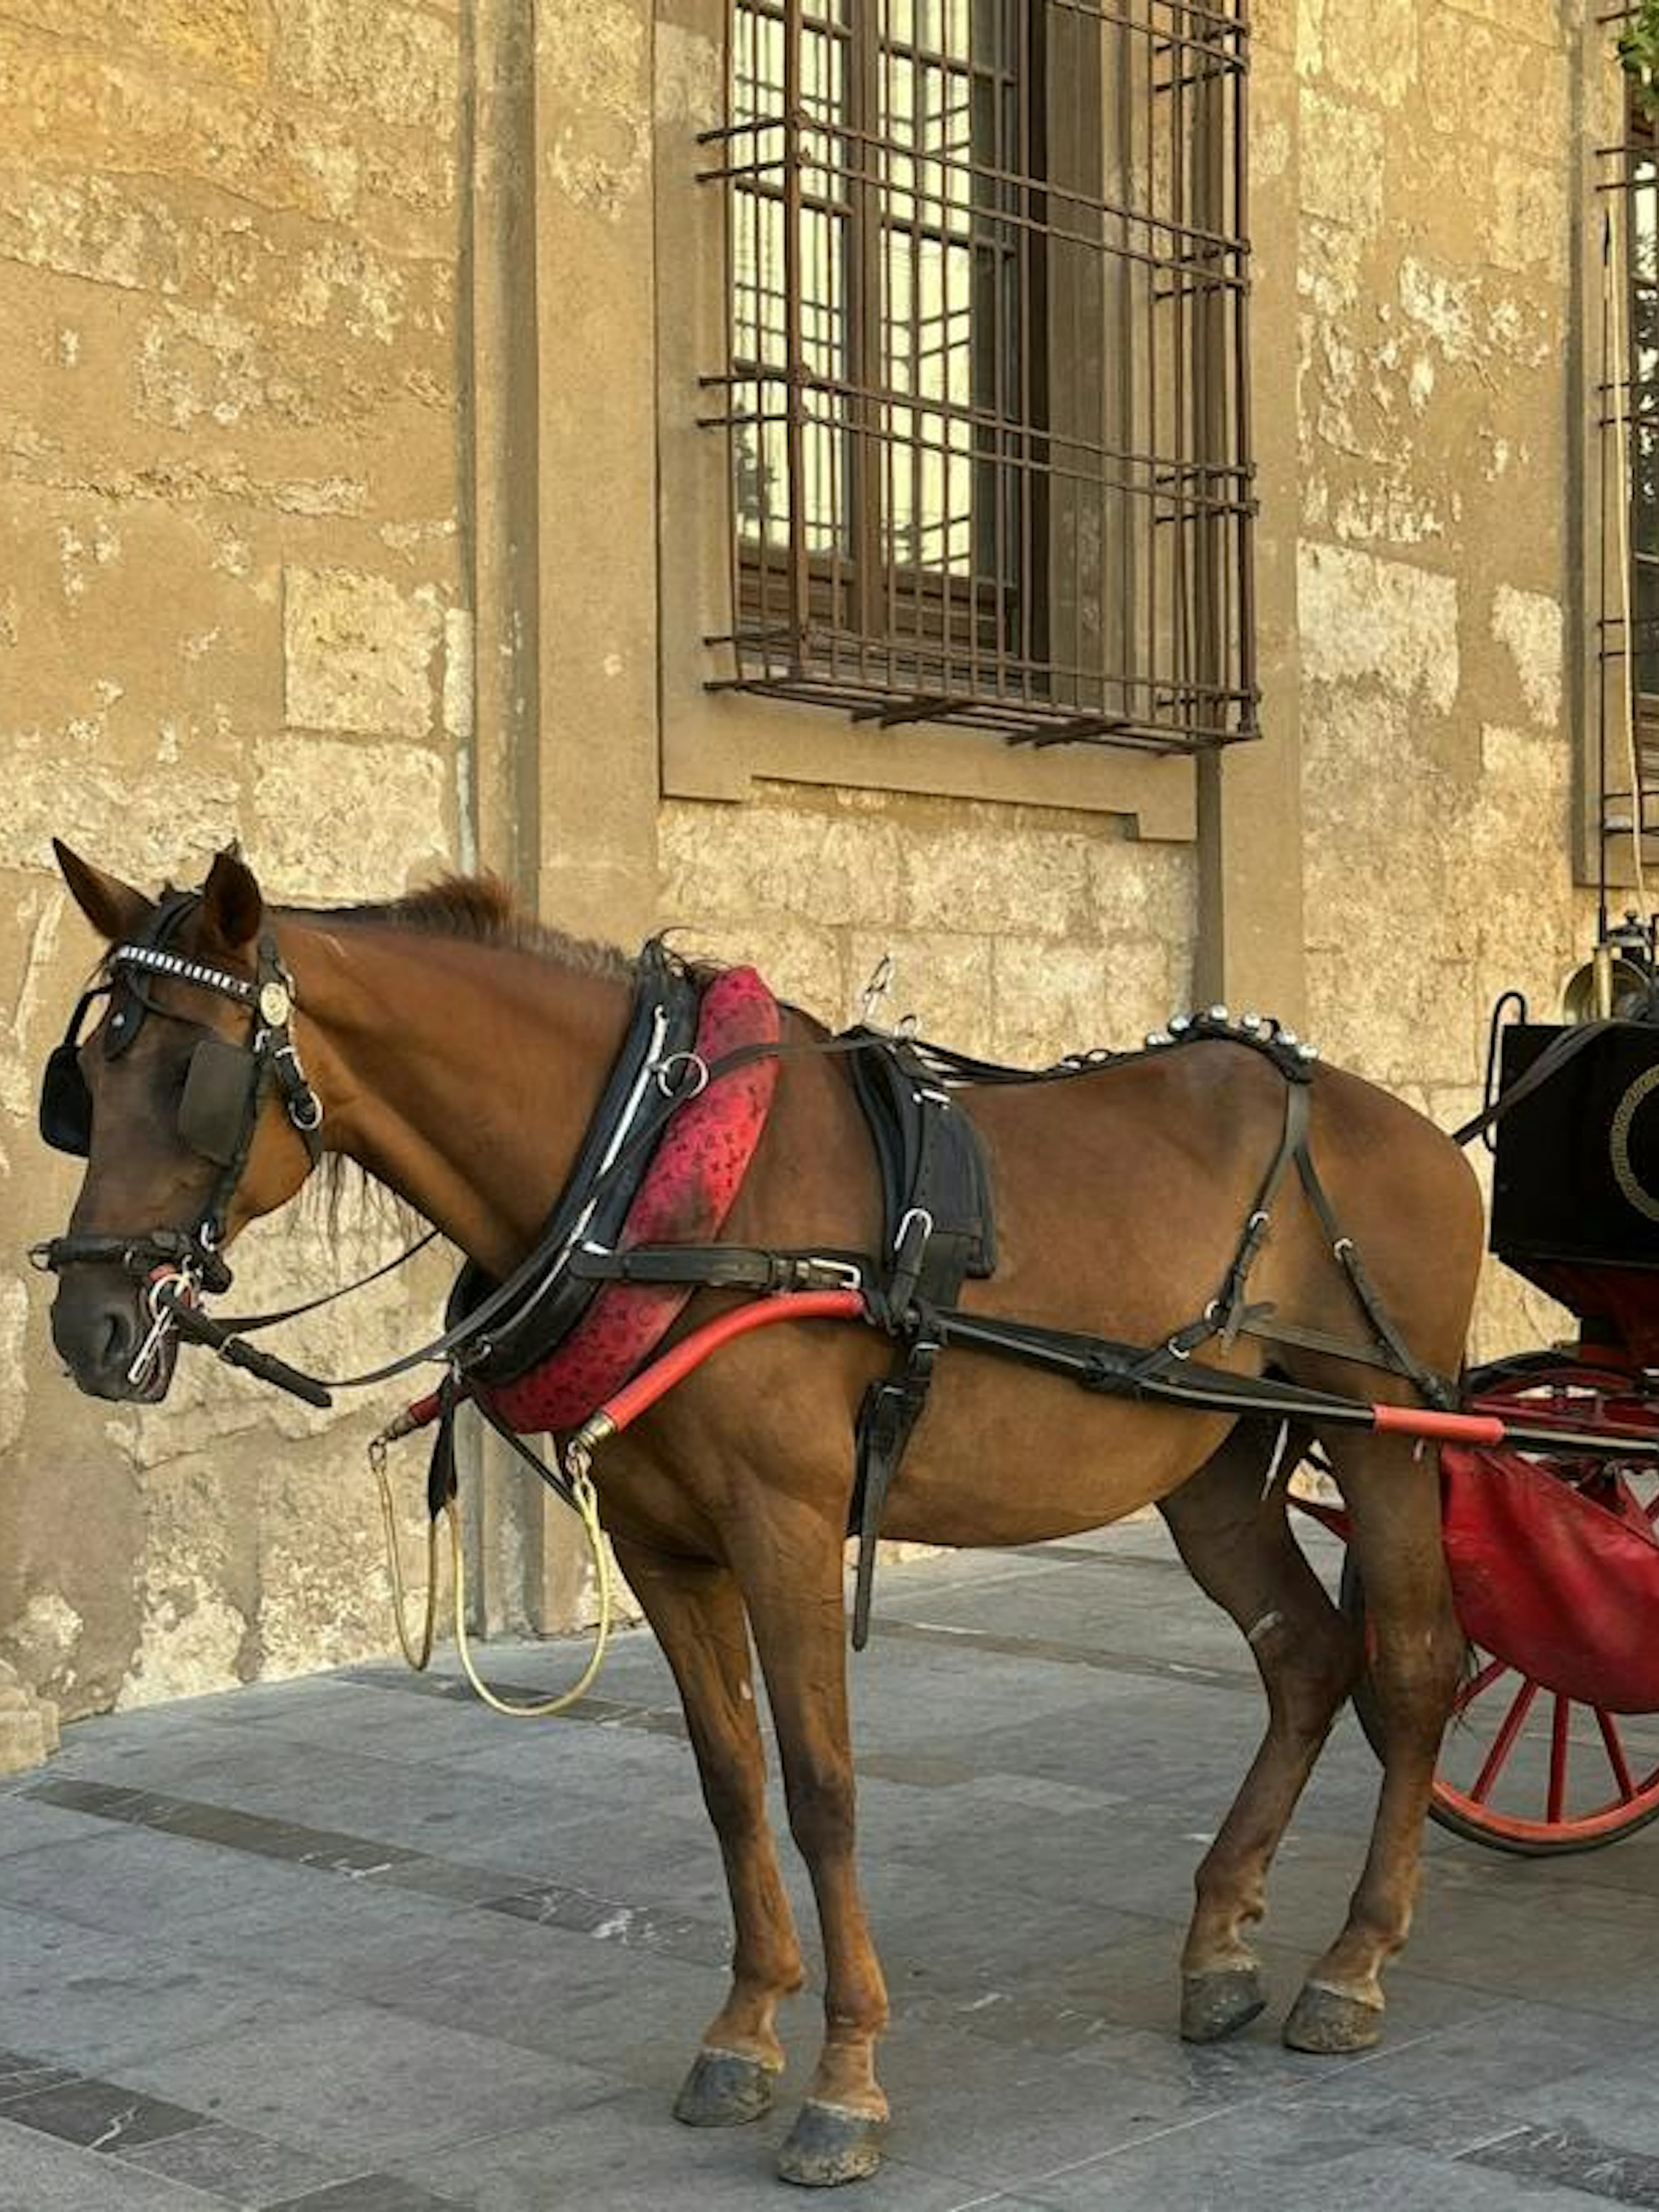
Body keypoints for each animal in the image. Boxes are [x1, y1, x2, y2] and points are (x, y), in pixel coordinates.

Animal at [40, 841, 1483, 2187]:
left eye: (191, 1076)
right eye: (87, 1089)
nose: (87, 1325)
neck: (650, 1181)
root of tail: (1406, 1125)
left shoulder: (782, 1523)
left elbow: (822, 1785)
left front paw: (846, 2080)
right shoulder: (661, 1542)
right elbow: (730, 1778)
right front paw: (743, 2032)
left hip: (1388, 1435)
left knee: (1414, 1669)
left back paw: (1354, 1960)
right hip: (1208, 1459)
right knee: (1305, 1654)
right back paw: (1221, 1939)